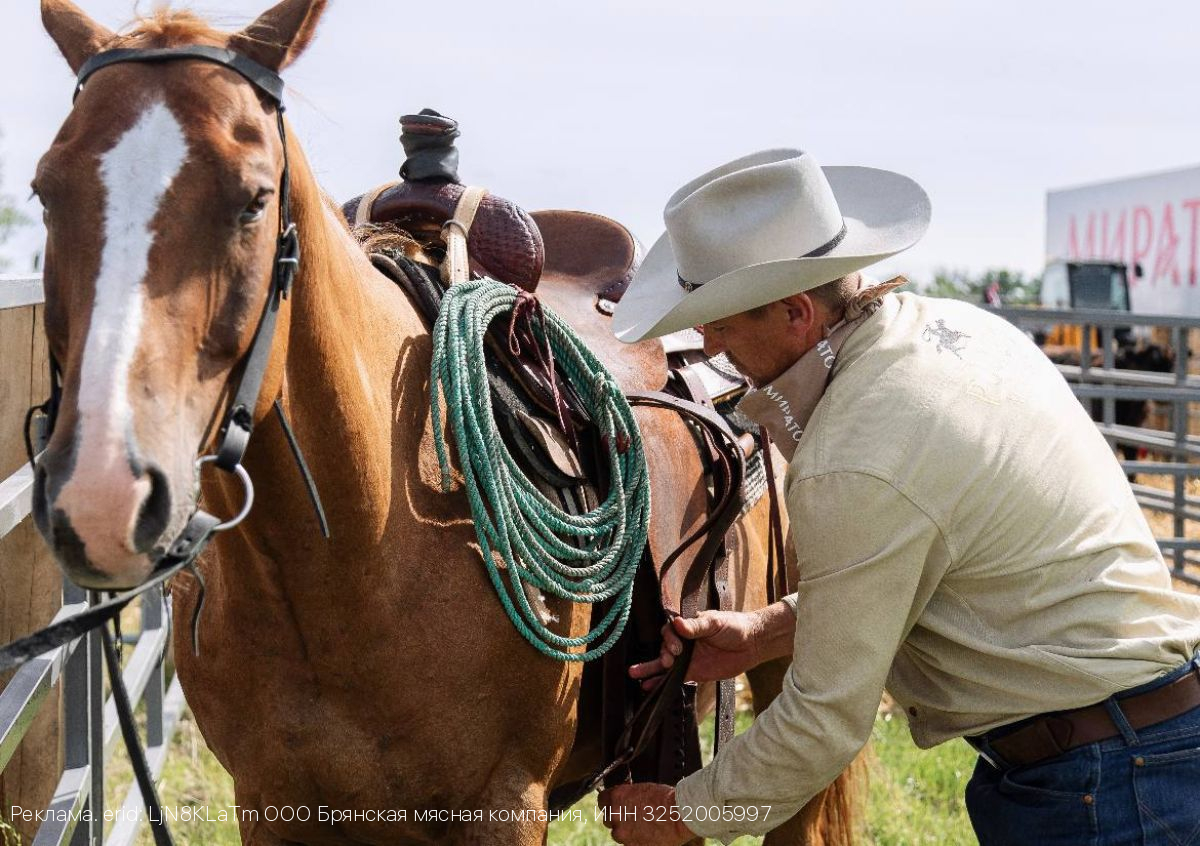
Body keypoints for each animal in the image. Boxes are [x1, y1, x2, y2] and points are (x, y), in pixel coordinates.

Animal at [32, 3, 868, 840]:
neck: (348, 567)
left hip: (783, 667)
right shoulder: (270, 802)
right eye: (44, 192)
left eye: (254, 198)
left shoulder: (504, 803)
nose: (101, 498)